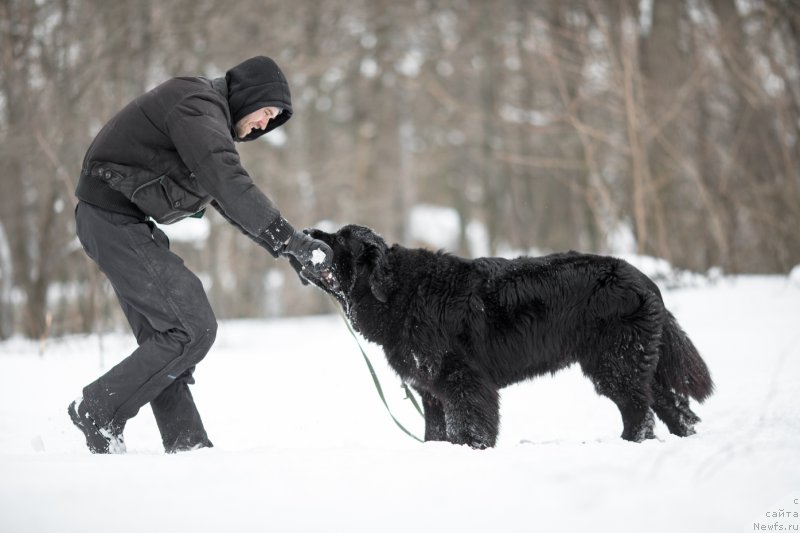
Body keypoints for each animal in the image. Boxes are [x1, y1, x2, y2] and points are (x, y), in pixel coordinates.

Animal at [304, 222, 712, 446]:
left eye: (339, 239)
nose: (306, 232)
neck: (399, 293)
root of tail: (643, 279)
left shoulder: (462, 380)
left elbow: (467, 423)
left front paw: (470, 448)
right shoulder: (430, 388)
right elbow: (434, 429)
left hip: (615, 362)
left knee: (639, 409)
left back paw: (629, 443)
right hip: (640, 361)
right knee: (672, 405)